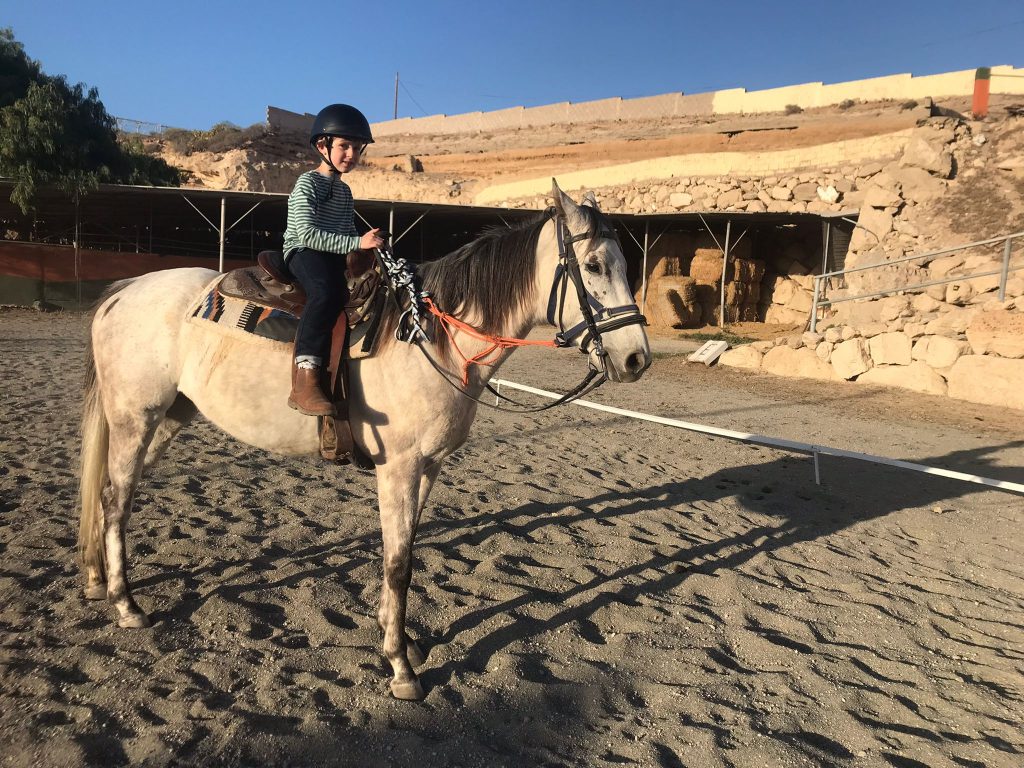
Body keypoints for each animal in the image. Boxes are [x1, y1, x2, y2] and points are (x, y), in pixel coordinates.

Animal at [77, 181, 651, 700]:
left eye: (626, 265)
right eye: (594, 266)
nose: (636, 359)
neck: (432, 338)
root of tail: (123, 291)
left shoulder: (428, 466)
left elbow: (405, 552)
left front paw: (402, 640)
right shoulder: (398, 467)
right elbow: (399, 563)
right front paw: (401, 668)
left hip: (169, 417)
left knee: (110, 497)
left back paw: (99, 581)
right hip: (135, 417)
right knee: (117, 498)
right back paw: (126, 605)